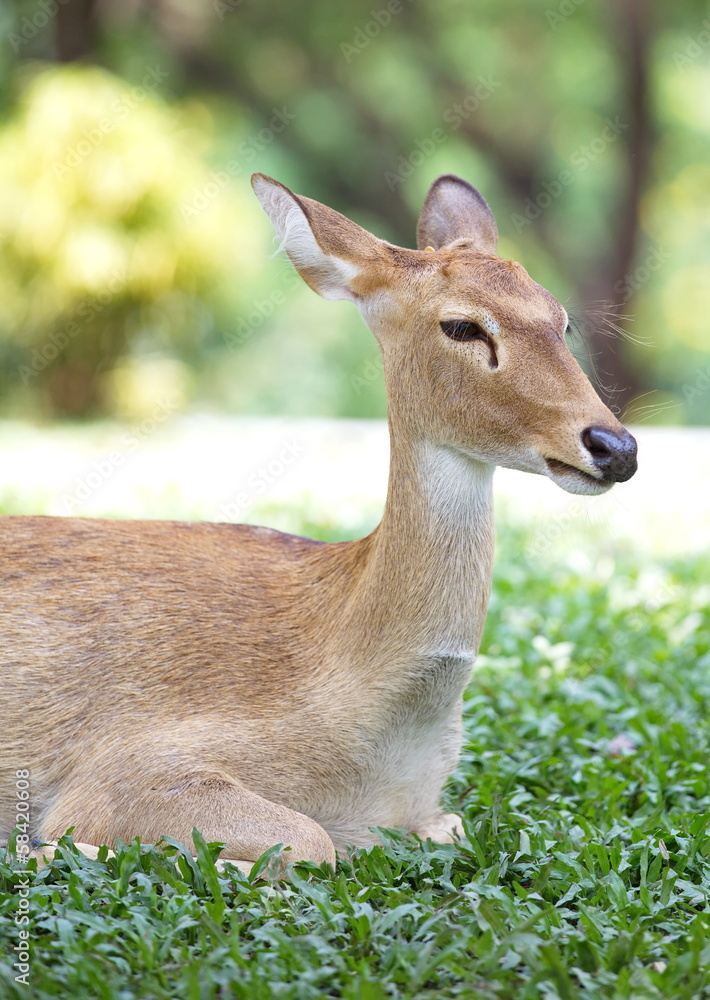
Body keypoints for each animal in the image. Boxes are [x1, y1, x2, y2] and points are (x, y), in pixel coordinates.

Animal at [0, 174, 640, 876]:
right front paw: (61, 850)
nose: (615, 446)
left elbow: (446, 826)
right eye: (462, 325)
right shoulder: (128, 762)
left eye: (562, 320)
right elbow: (313, 842)